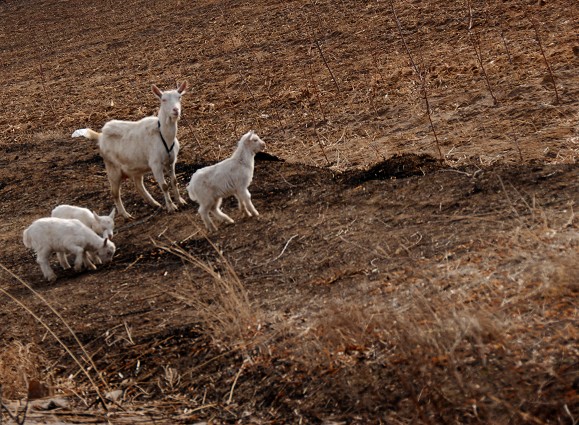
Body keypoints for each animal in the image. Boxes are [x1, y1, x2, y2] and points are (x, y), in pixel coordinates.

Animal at [70, 82, 188, 217]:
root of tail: (100, 136)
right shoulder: (155, 164)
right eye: (163, 100)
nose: (175, 110)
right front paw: (171, 207)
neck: (163, 136)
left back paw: (155, 204)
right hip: (112, 168)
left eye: (179, 97)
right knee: (114, 193)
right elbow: (164, 186)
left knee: (138, 184)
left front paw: (181, 201)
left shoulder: (171, 161)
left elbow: (174, 181)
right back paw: (126, 215)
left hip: (135, 166)